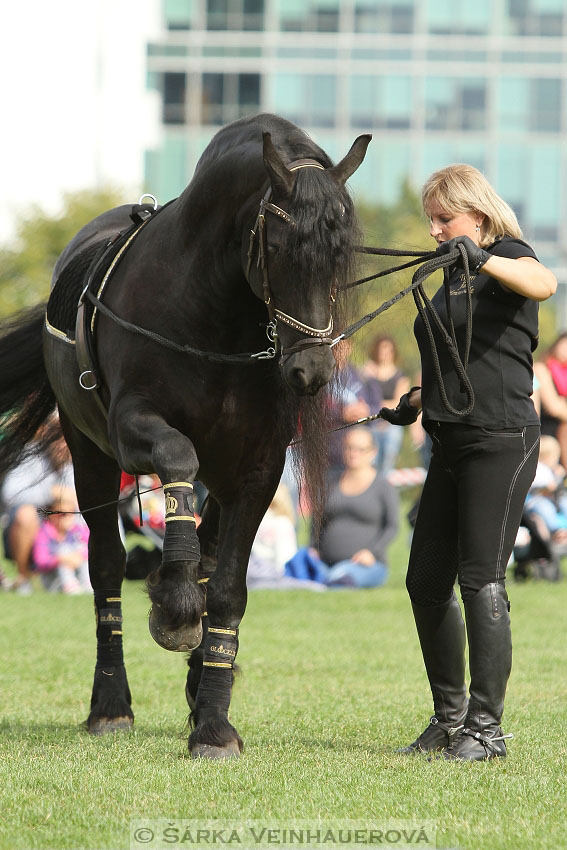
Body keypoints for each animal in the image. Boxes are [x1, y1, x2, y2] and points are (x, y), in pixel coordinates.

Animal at [0, 114, 370, 756]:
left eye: (341, 253)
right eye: (278, 248)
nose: (312, 370)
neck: (213, 314)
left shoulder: (257, 467)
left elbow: (227, 586)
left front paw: (215, 722)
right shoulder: (133, 428)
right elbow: (175, 459)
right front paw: (173, 604)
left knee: (210, 544)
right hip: (88, 452)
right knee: (106, 566)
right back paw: (111, 704)